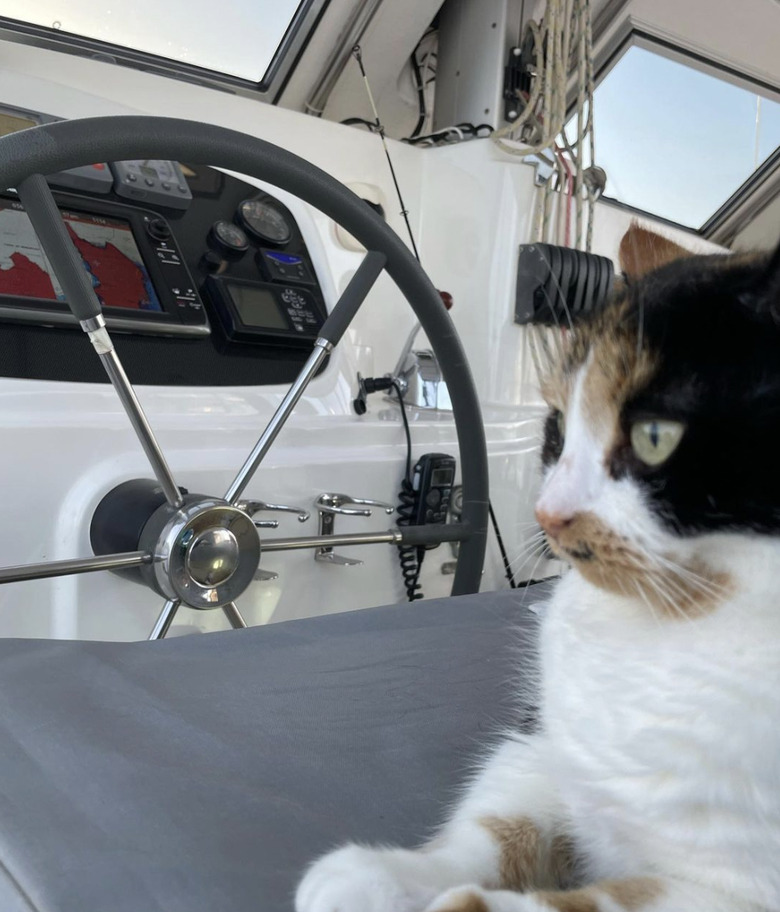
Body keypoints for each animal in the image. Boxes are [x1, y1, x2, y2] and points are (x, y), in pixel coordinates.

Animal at [296, 226, 780, 912]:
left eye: (656, 435)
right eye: (556, 425)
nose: (546, 514)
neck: (670, 626)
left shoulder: (735, 890)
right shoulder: (547, 748)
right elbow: (499, 825)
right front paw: (375, 876)